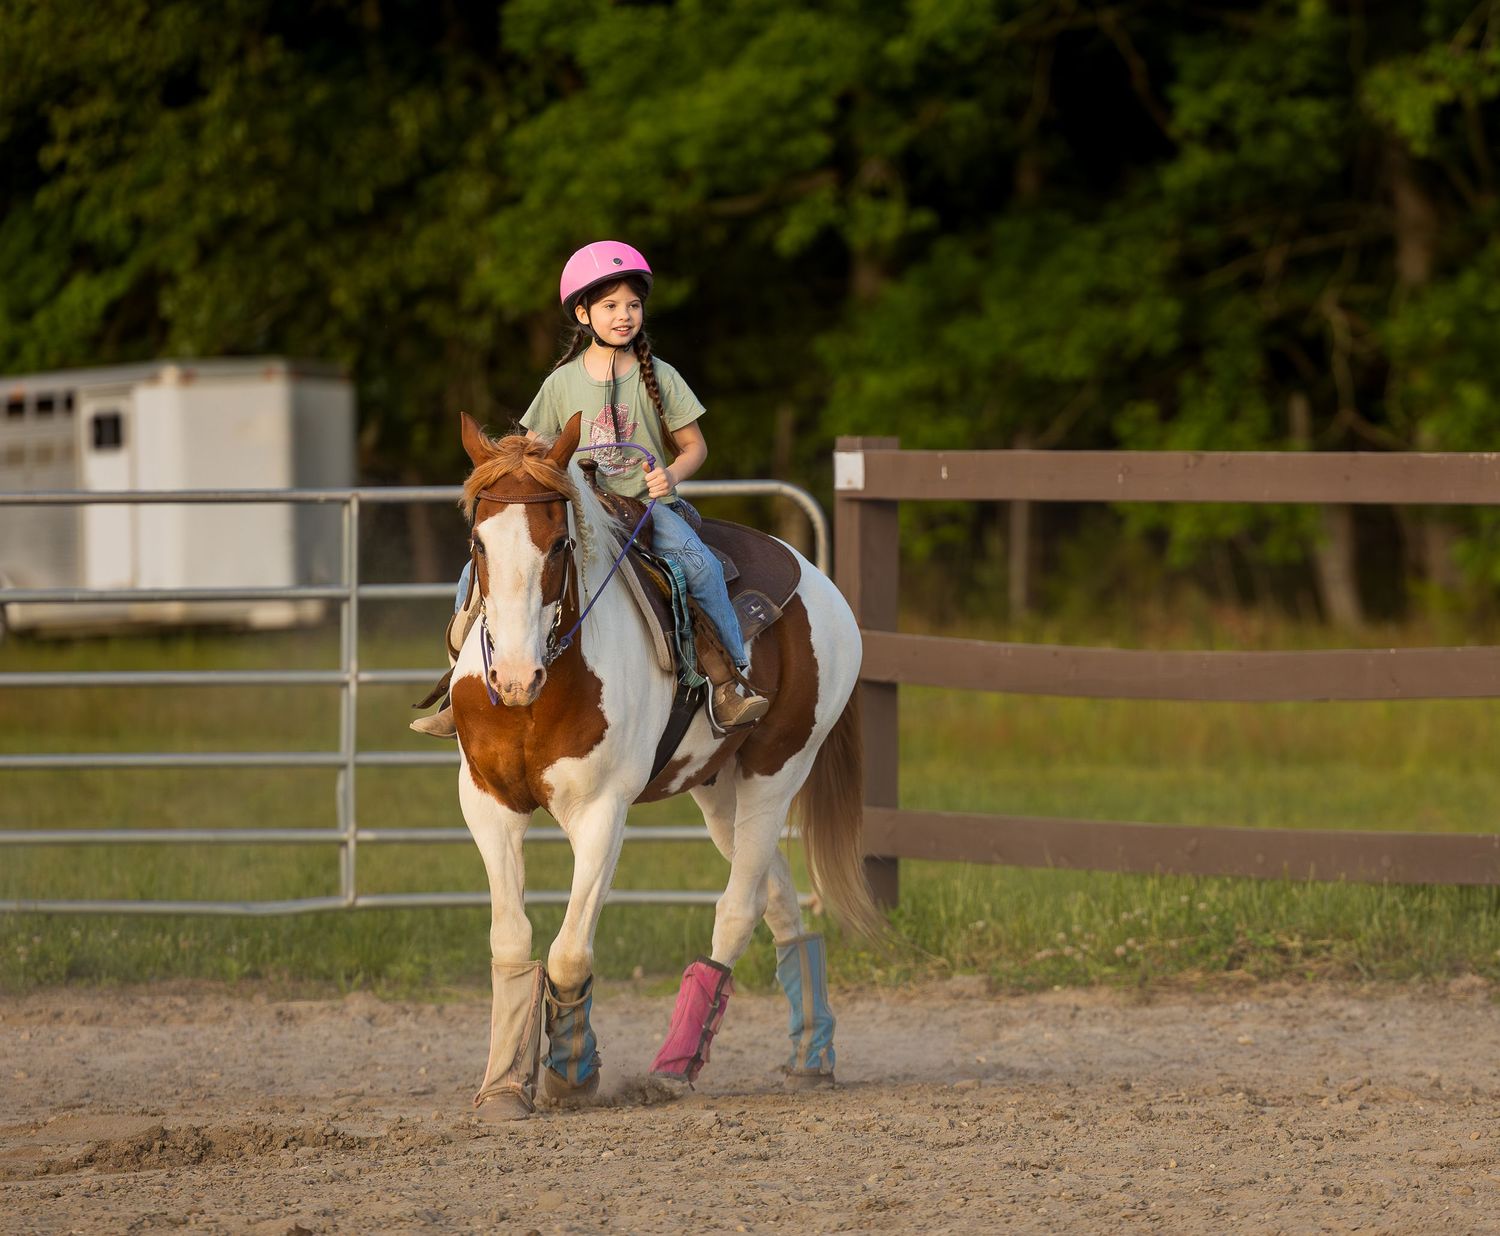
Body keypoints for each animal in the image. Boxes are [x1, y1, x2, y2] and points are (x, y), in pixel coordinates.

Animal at [450, 410, 881, 1119]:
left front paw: (573, 1072)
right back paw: (810, 1054)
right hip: (719, 791)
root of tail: (817, 580)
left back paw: (673, 1068)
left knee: (738, 908)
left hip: (777, 771)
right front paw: (506, 1085)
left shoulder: (603, 813)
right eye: (478, 544)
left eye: (559, 545)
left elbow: (569, 951)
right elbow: (512, 941)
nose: (512, 677)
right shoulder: (490, 804)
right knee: (778, 901)